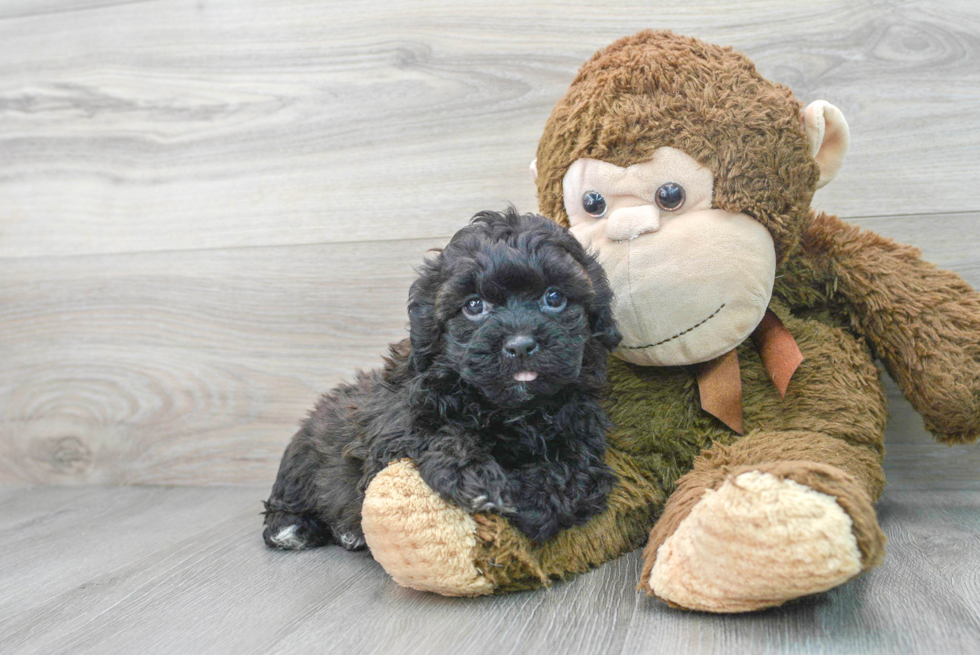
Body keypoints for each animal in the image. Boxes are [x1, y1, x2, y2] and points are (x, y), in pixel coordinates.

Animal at [260, 209, 620, 548]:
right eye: (474, 305)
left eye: (554, 297)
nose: (519, 345)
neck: (509, 409)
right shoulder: (393, 427)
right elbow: (436, 432)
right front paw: (477, 479)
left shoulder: (582, 434)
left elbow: (573, 470)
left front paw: (532, 502)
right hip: (303, 458)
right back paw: (293, 528)